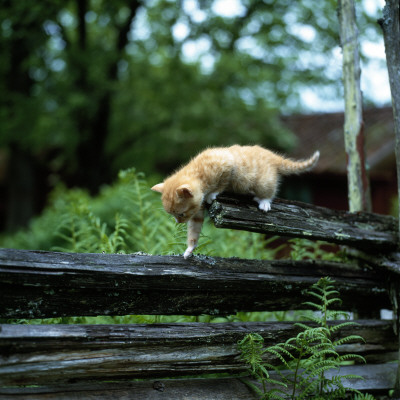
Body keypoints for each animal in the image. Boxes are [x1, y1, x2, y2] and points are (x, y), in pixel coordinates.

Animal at [152, 145, 320, 258]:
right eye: (173, 215)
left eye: (180, 214)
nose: (178, 222)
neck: (198, 173)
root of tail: (272, 155)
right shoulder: (197, 209)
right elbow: (194, 229)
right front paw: (190, 248)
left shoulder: (227, 165)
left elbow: (223, 182)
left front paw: (213, 193)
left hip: (263, 180)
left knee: (269, 190)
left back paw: (264, 201)